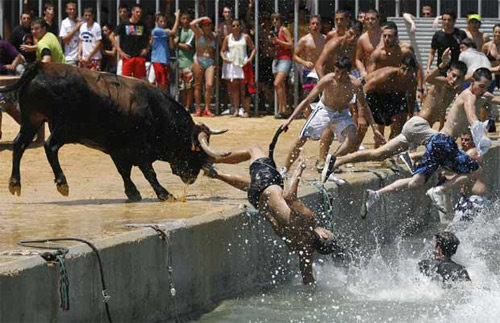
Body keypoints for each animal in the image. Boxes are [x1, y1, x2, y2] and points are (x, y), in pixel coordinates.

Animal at [0, 62, 230, 201]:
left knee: (18, 145)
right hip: (63, 128)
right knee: (50, 146)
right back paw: (62, 182)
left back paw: (15, 183)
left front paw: (133, 193)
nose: (193, 177)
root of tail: (41, 66)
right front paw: (164, 194)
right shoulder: (140, 150)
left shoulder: (118, 151)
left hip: (31, 122)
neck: (157, 112)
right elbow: (149, 173)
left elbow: (124, 172)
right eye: (196, 151)